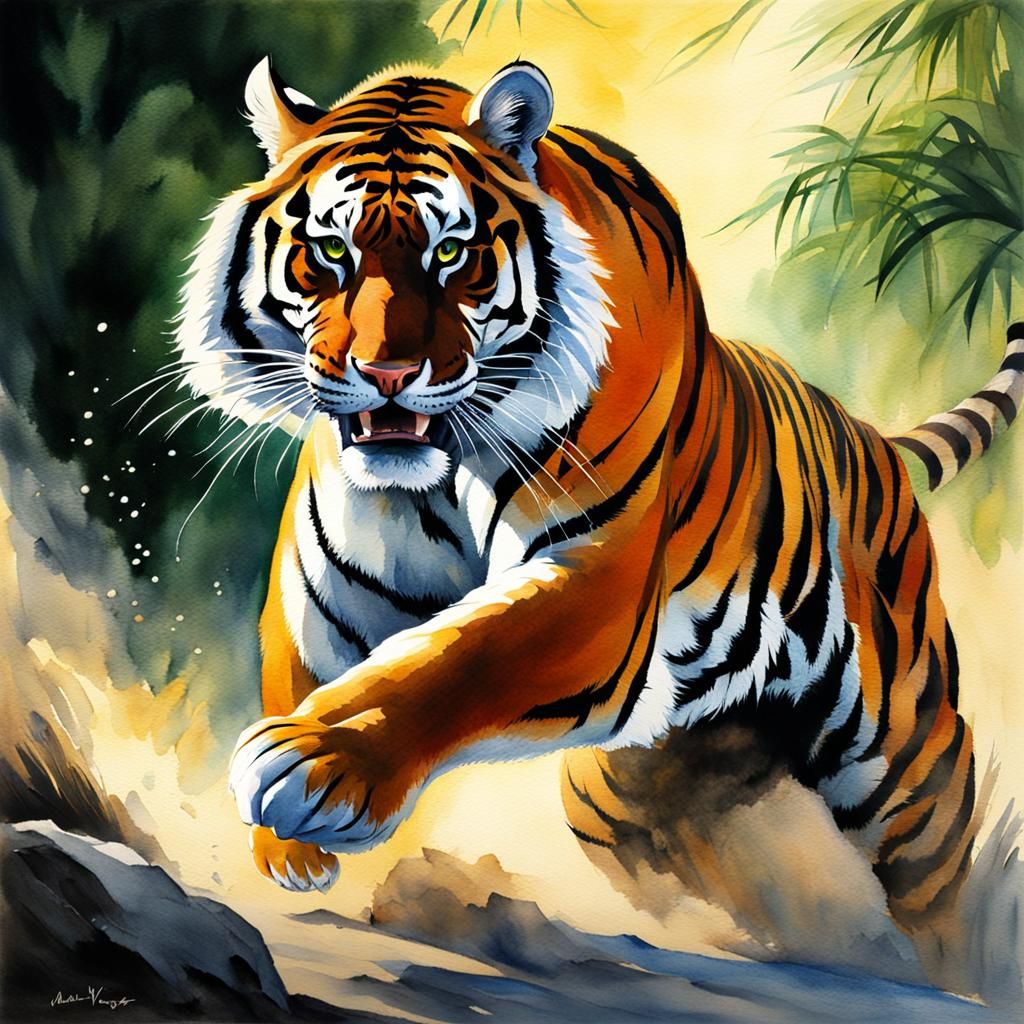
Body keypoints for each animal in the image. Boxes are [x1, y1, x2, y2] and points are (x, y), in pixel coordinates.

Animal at [174, 58, 1023, 940]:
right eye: (331, 250)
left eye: (452, 252)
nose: (387, 373)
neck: (431, 481)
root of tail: (872, 438)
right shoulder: (328, 597)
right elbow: (334, 668)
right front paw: (290, 841)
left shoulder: (594, 582)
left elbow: (457, 661)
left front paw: (315, 765)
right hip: (626, 792)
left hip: (910, 766)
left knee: (939, 891)